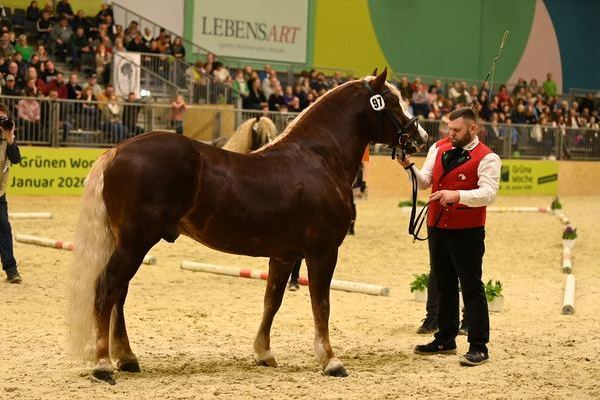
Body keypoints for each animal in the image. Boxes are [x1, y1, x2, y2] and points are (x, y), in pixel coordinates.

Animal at [69, 69, 426, 384]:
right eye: (392, 101)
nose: (421, 137)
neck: (317, 159)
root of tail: (117, 151)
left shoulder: (284, 255)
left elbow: (272, 301)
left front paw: (264, 353)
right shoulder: (322, 252)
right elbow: (321, 305)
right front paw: (330, 360)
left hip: (131, 244)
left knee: (119, 293)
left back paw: (127, 358)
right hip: (135, 243)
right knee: (107, 289)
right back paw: (103, 365)